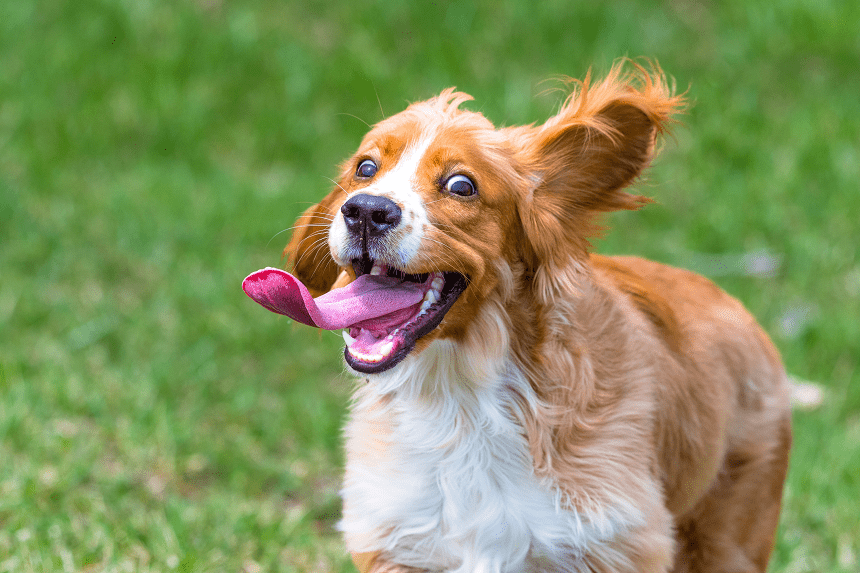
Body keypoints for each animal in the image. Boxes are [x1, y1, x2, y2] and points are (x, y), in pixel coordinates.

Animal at [244, 61, 792, 572]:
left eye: (461, 185)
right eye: (364, 168)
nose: (365, 211)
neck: (461, 401)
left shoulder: (615, 542)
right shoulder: (397, 539)